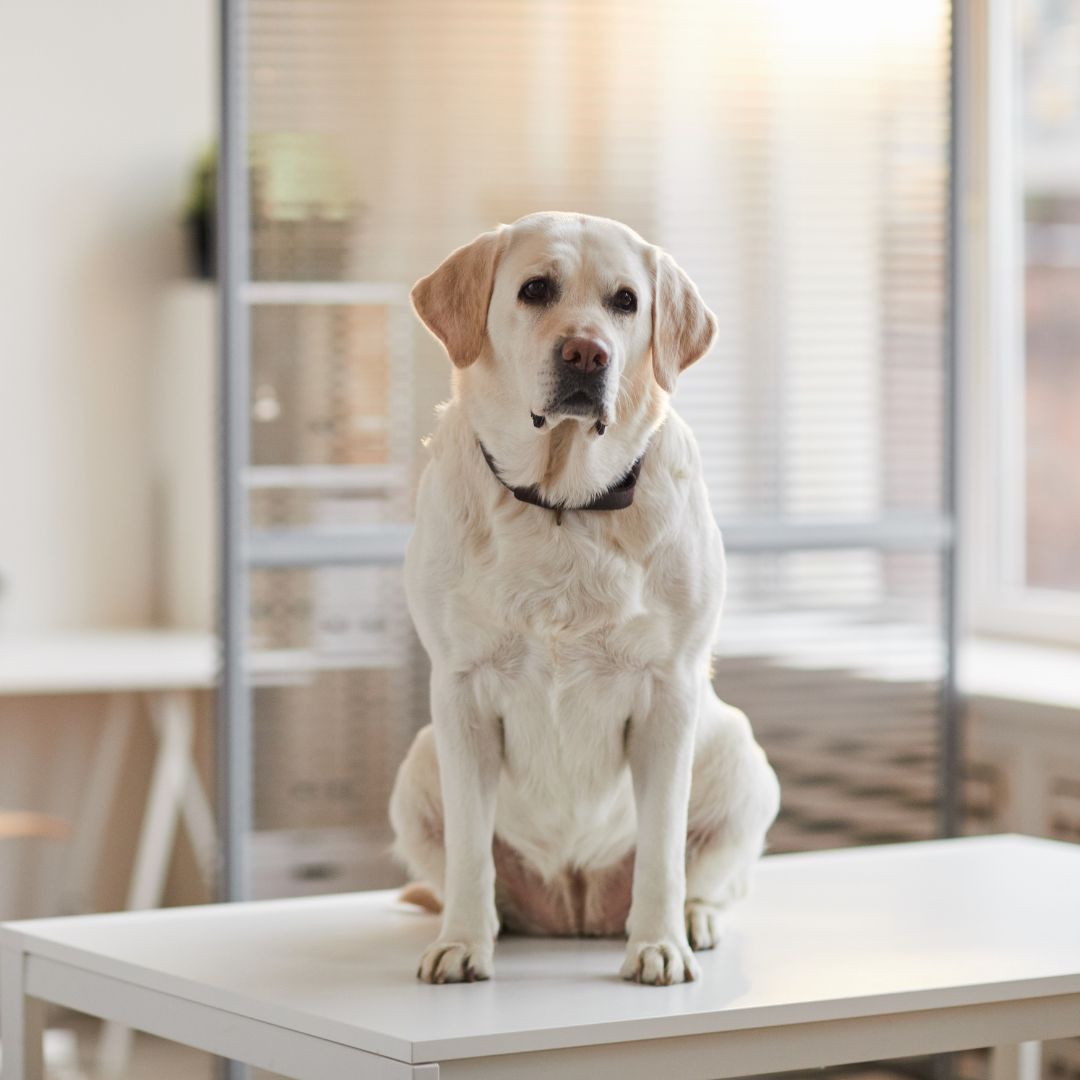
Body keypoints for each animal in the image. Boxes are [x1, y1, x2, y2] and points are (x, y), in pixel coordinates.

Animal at [393, 210, 781, 989]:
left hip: (740, 758)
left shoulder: (669, 695)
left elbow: (662, 849)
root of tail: (574, 910)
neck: (562, 504)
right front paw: (462, 944)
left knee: (711, 876)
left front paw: (659, 945)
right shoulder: (460, 691)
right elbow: (470, 852)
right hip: (418, 766)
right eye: (535, 289)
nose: (586, 353)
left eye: (626, 301)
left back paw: (693, 921)